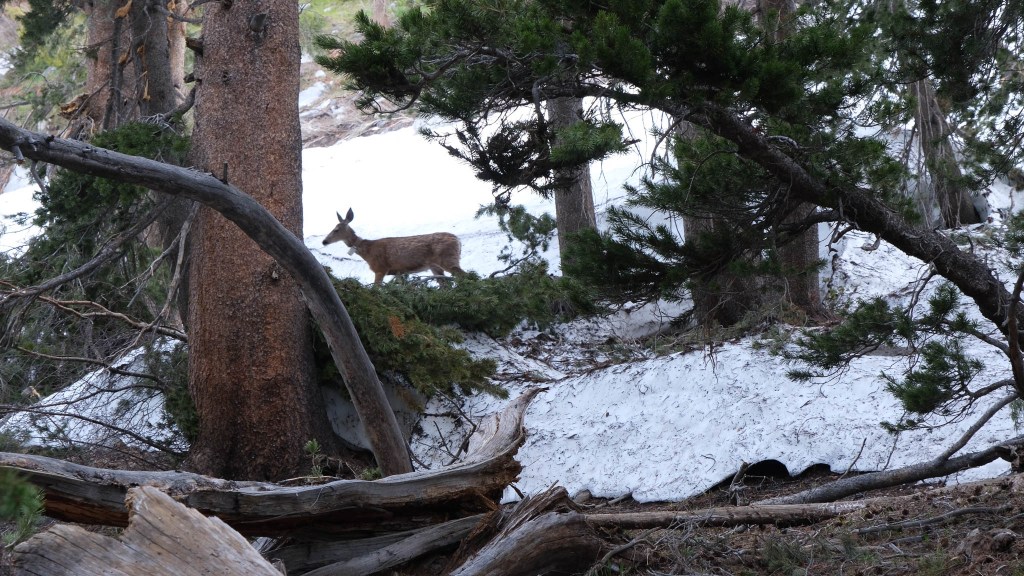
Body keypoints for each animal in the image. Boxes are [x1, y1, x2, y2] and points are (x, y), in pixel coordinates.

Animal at [322, 208, 466, 285]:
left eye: (336, 230)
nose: (324, 241)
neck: (368, 252)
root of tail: (458, 240)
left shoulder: (380, 268)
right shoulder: (399, 272)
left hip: (447, 258)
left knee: (464, 275)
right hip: (435, 266)